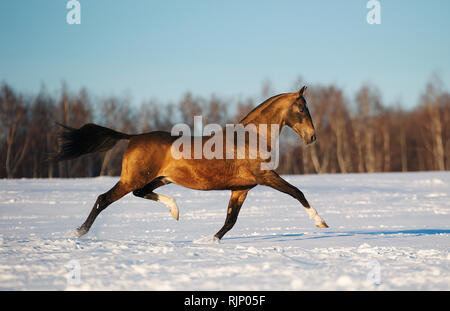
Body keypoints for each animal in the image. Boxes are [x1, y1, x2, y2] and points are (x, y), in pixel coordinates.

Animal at [51, 86, 326, 243]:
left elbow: (230, 220)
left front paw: (209, 241)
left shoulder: (241, 189)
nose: (312, 137)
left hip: (158, 178)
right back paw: (78, 232)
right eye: (302, 109)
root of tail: (133, 137)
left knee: (140, 193)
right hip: (132, 178)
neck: (250, 138)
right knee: (103, 199)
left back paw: (175, 210)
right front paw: (321, 222)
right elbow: (297, 192)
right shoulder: (266, 177)